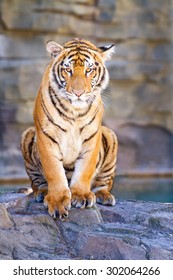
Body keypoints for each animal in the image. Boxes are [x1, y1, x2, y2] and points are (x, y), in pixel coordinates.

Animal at [20, 38, 117, 220]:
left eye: (89, 70)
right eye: (68, 70)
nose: (78, 93)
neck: (75, 112)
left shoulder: (92, 137)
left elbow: (85, 170)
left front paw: (81, 195)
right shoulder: (46, 137)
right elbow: (54, 172)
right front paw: (57, 202)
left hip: (110, 135)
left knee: (103, 183)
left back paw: (104, 196)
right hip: (27, 135)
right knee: (38, 182)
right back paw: (42, 193)